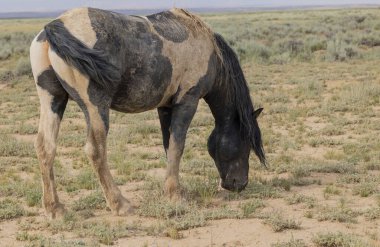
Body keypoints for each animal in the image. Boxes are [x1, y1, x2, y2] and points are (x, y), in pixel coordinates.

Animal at [29, 6, 264, 217]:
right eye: (246, 142)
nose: (239, 184)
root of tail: (56, 25)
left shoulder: (165, 107)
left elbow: (169, 146)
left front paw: (172, 189)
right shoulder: (187, 102)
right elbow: (178, 146)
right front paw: (175, 195)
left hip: (53, 99)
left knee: (45, 147)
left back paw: (54, 209)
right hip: (95, 106)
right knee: (96, 150)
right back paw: (120, 204)